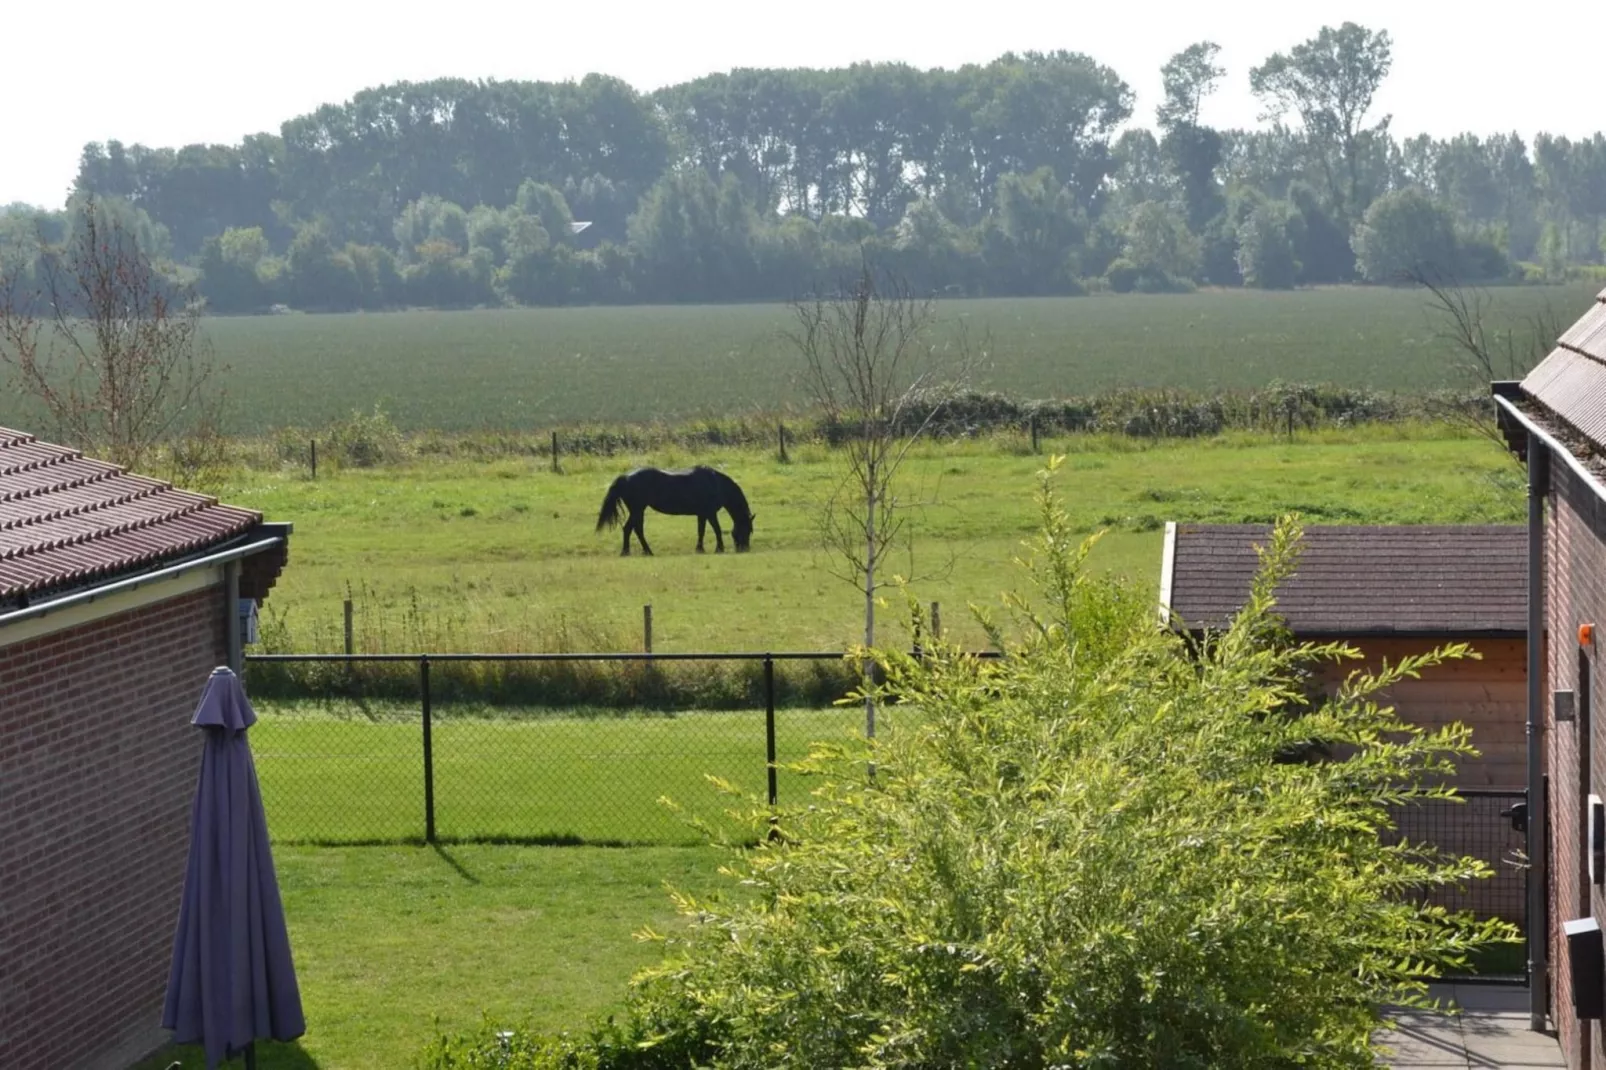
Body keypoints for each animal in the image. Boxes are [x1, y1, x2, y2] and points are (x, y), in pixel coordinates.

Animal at [597, 462, 758, 552]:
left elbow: (701, 531)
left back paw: (642, 551)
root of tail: (625, 477)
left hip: (638, 510)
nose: (744, 549)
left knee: (634, 529)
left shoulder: (702, 514)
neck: (716, 484)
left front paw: (700, 549)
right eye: (747, 529)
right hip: (638, 509)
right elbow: (717, 530)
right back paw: (633, 551)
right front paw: (719, 549)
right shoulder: (710, 513)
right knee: (631, 529)